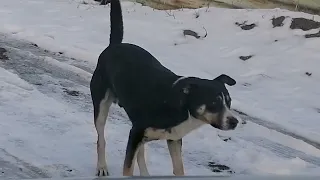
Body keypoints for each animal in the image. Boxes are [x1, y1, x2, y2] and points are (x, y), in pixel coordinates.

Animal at [89, 0, 240, 177]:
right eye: (214, 102)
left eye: (229, 102)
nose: (235, 121)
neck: (179, 107)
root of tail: (114, 45)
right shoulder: (136, 133)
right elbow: (127, 168)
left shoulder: (172, 139)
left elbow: (178, 168)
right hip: (101, 107)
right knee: (101, 138)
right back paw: (102, 166)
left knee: (140, 153)